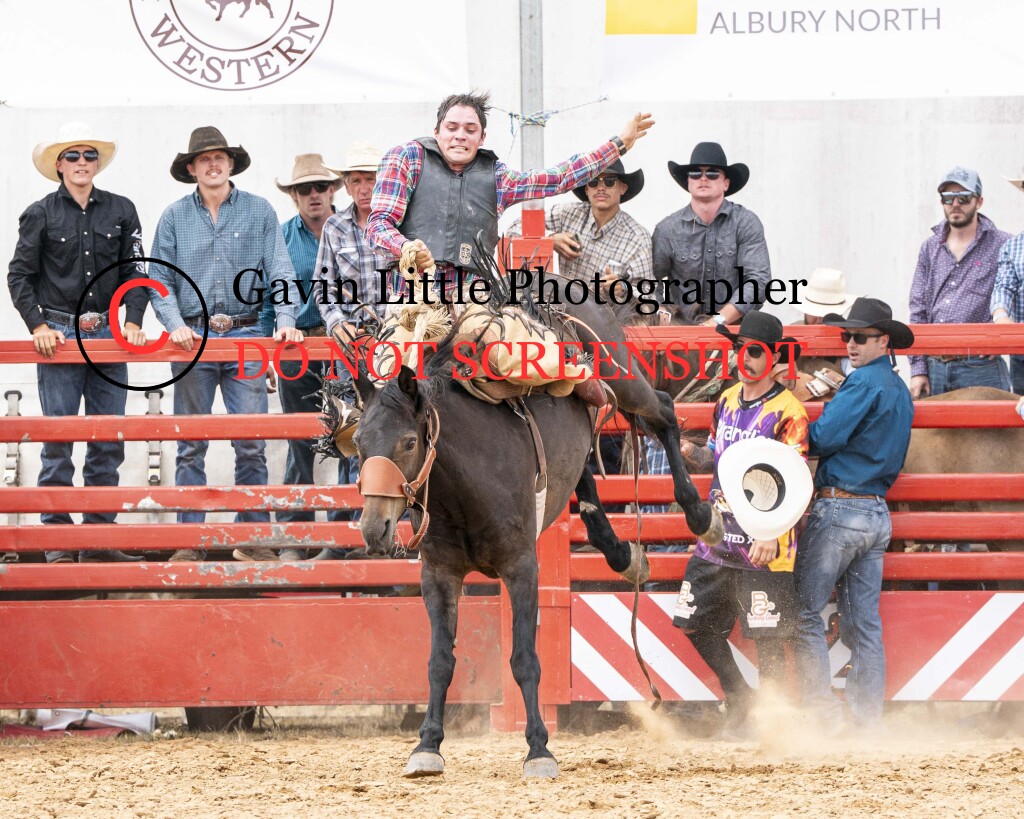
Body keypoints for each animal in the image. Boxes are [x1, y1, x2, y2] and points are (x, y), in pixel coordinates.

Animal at [351, 306, 721, 778]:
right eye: (358, 443)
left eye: (409, 441)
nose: (373, 528)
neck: (464, 487)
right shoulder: (438, 573)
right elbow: (440, 661)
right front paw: (427, 745)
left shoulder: (521, 567)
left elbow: (525, 660)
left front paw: (539, 749)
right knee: (586, 484)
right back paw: (626, 556)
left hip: (622, 375)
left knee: (665, 411)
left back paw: (700, 514)